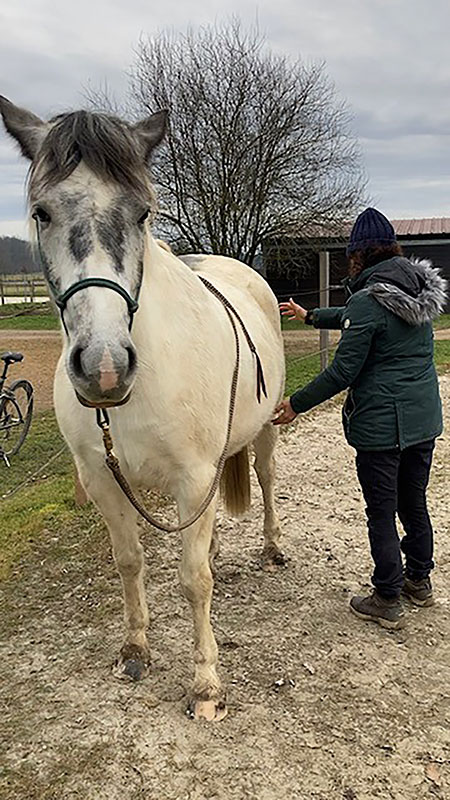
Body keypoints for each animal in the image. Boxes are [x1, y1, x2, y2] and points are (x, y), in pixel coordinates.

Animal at [0, 97, 286, 721]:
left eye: (141, 213)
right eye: (41, 213)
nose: (104, 366)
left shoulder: (194, 477)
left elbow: (193, 581)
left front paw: (206, 685)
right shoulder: (102, 479)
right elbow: (130, 561)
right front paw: (135, 649)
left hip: (264, 434)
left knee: (266, 479)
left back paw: (273, 547)